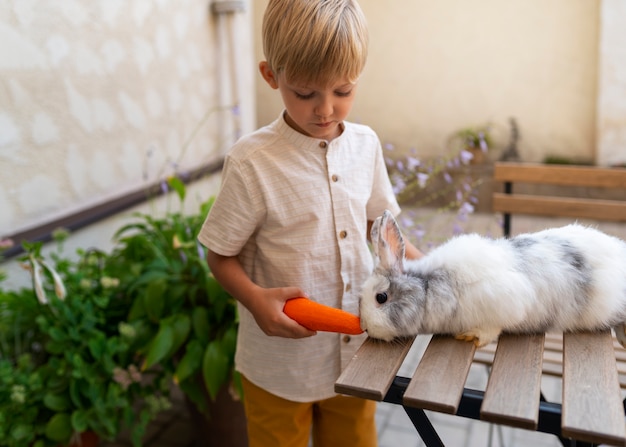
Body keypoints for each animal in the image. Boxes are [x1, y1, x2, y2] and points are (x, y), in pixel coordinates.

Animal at [358, 212, 624, 348]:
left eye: (381, 297)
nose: (365, 327)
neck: (430, 286)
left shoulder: (505, 303)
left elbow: (492, 329)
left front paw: (471, 336)